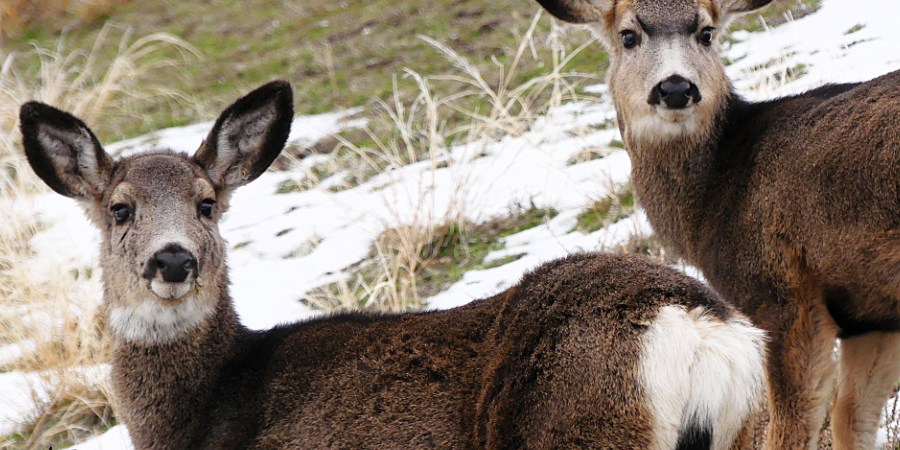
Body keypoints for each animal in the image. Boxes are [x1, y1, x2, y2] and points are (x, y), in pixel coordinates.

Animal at [20, 80, 767, 449]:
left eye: (207, 204)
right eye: (120, 209)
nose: (172, 258)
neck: (200, 421)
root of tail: (698, 329)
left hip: (579, 425)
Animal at [531, 0, 900, 448]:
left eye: (706, 32)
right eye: (628, 35)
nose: (675, 87)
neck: (714, 193)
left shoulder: (778, 295)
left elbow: (792, 425)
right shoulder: (870, 318)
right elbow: (853, 418)